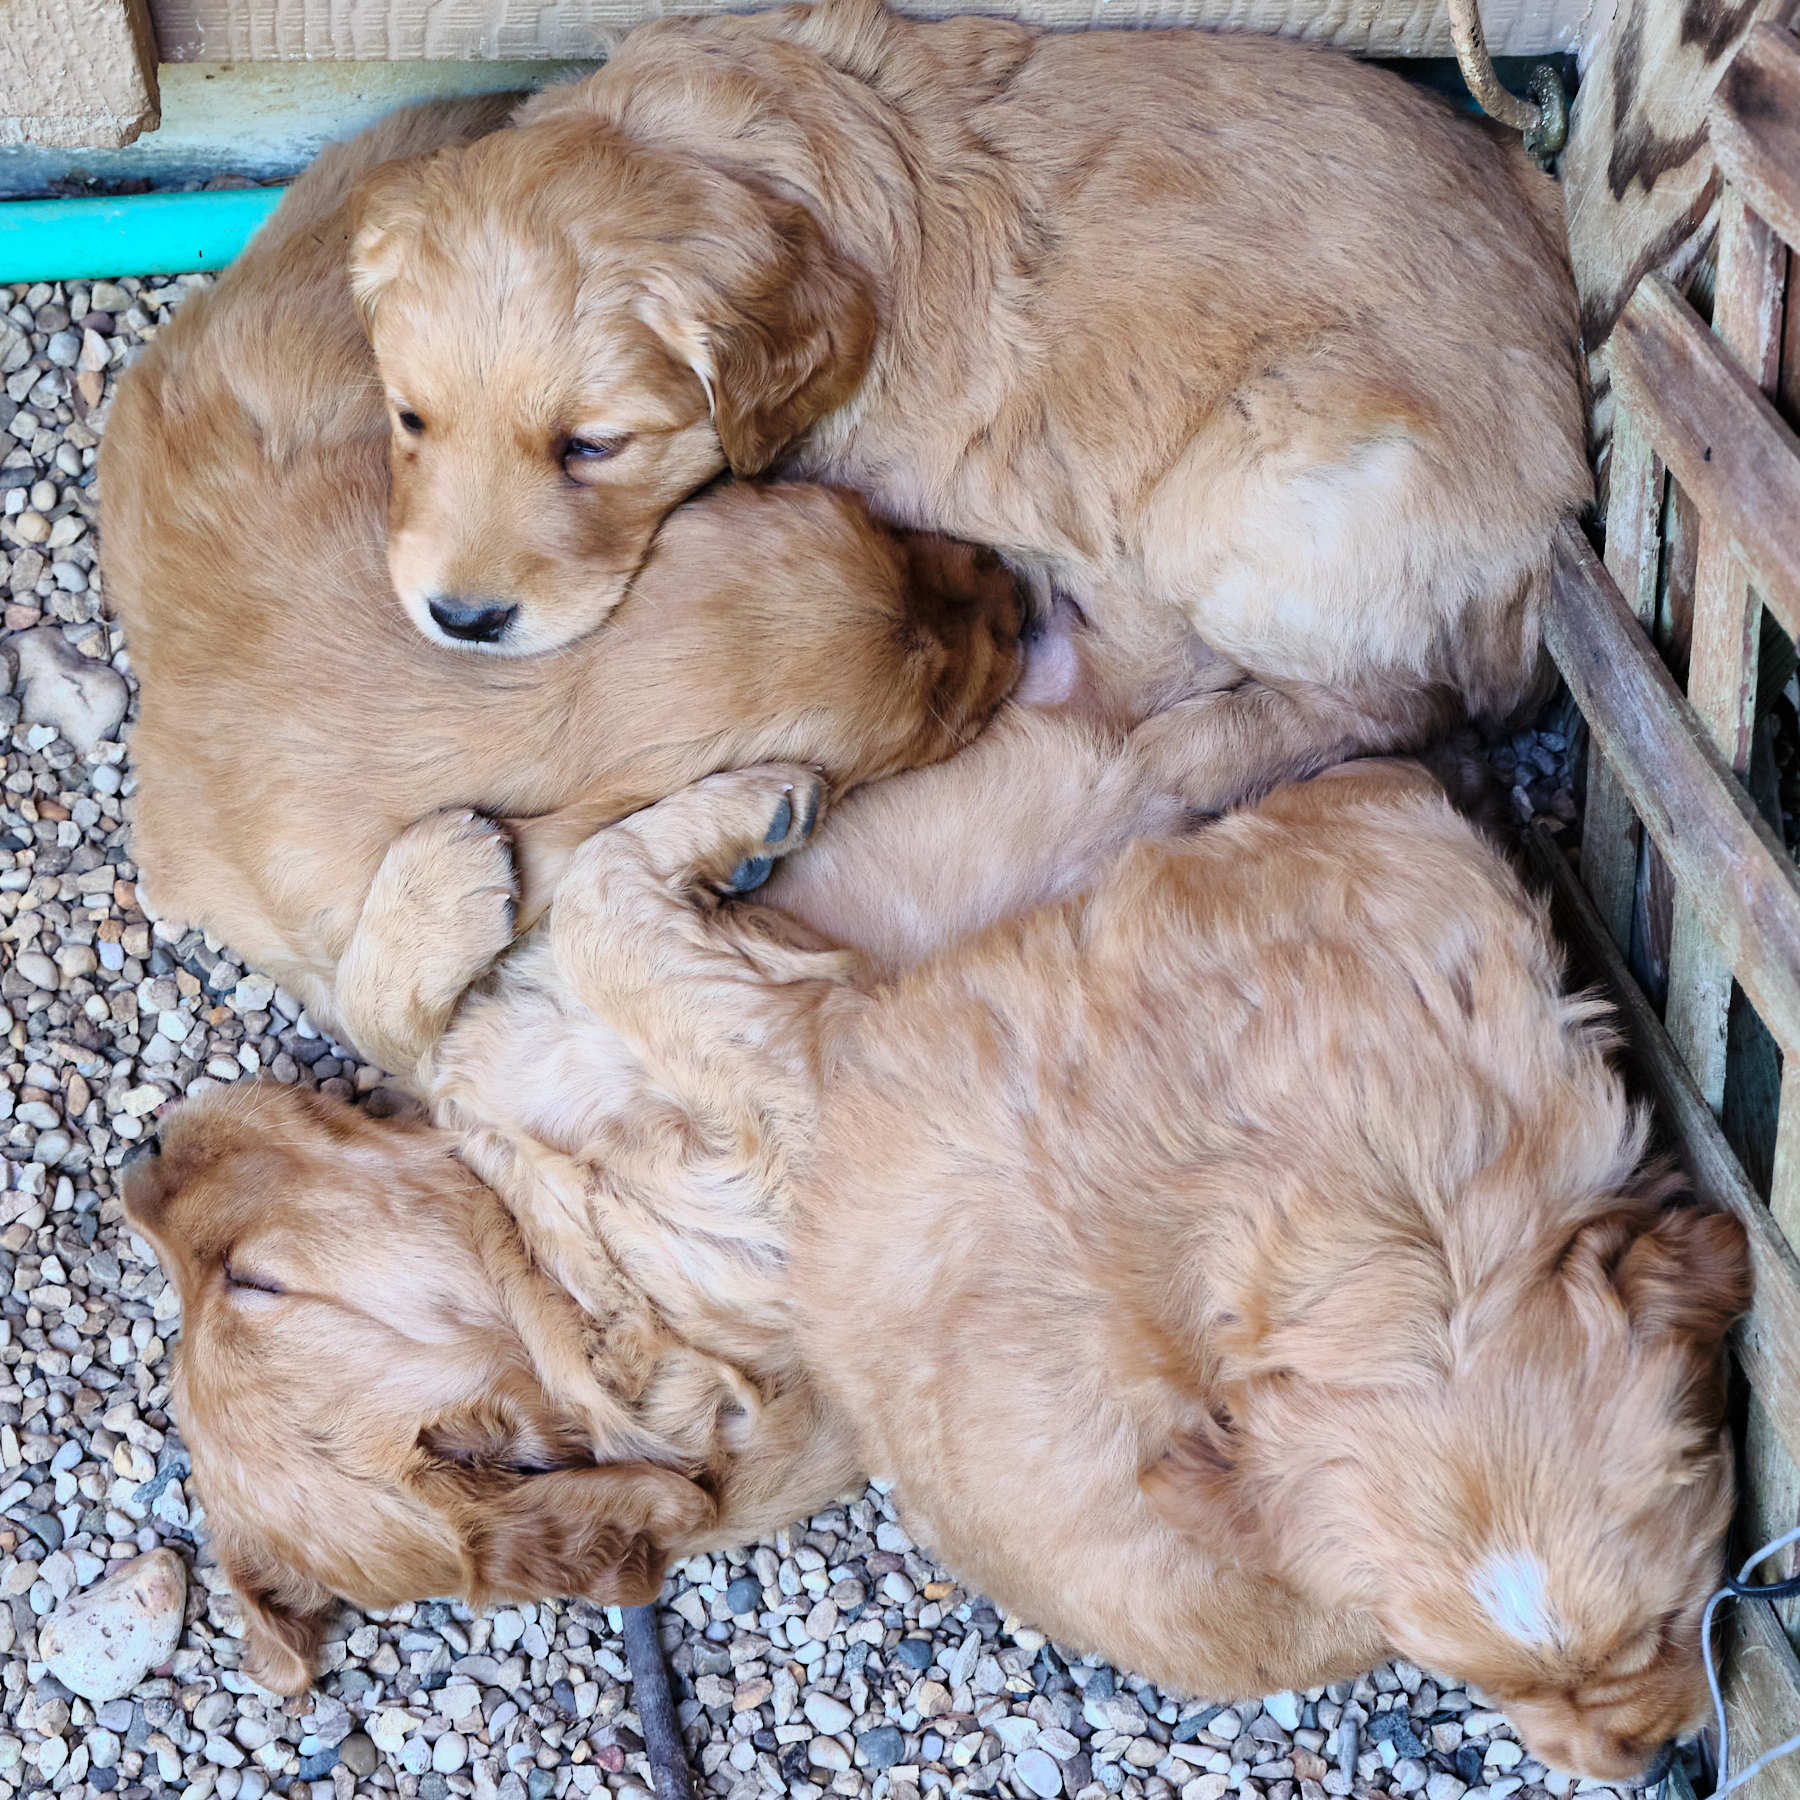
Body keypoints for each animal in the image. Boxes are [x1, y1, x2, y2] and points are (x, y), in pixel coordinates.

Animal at [123, 752, 1742, 1778]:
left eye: (242, 1281)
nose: (141, 1166)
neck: (561, 1269)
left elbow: (447, 995)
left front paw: (481, 871)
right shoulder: (801, 1110)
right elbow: (582, 938)